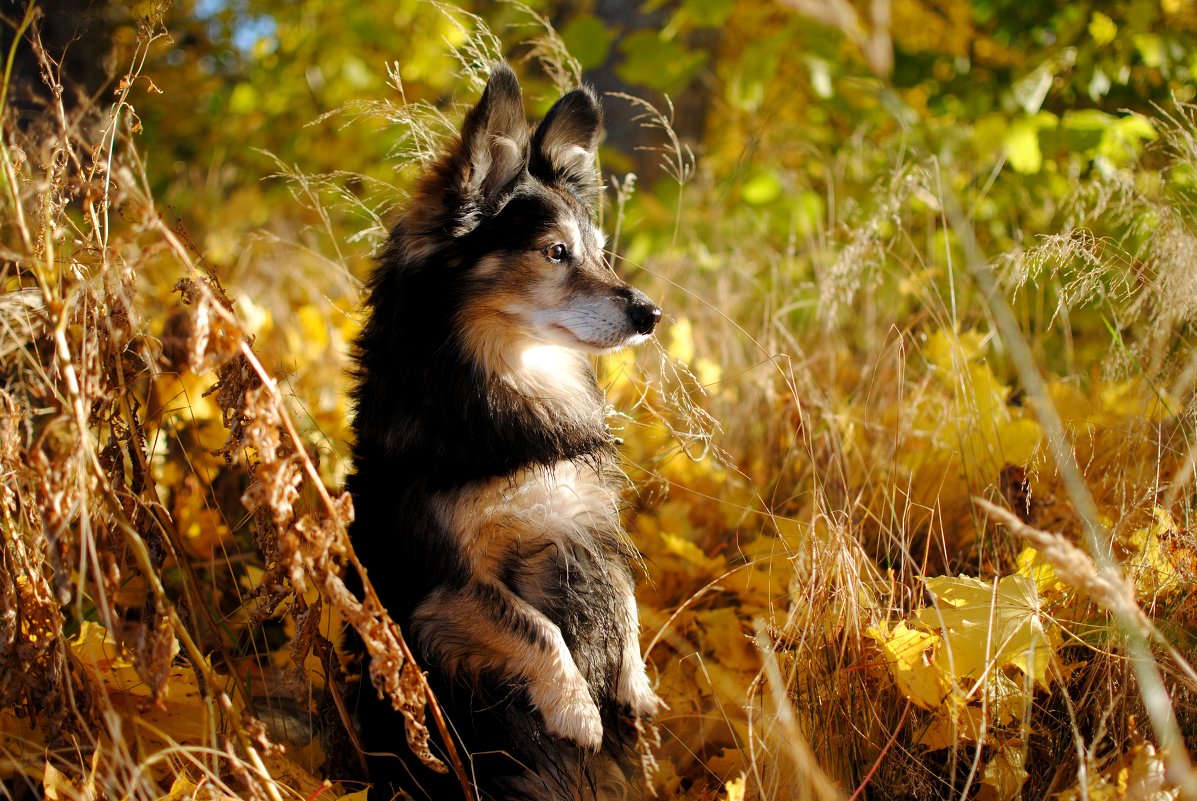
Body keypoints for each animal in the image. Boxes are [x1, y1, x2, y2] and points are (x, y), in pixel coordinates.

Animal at [347, 64, 665, 799]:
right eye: (556, 252)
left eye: (602, 255)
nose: (650, 313)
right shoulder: (445, 585)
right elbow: (534, 624)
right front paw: (576, 708)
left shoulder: (591, 525)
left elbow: (627, 600)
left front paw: (634, 684)